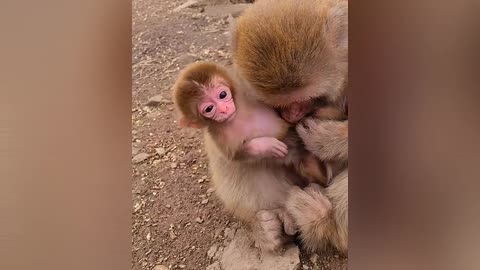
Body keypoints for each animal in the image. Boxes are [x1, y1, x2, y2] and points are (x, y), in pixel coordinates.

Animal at [172, 60, 326, 184]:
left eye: (222, 94)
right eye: (209, 109)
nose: (224, 109)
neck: (235, 116)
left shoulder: (248, 93)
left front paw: (297, 109)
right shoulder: (219, 136)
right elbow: (239, 154)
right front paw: (267, 145)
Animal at [231, 0, 346, 253]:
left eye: (302, 100)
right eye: (278, 105)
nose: (290, 116)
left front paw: (326, 139)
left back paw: (322, 223)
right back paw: (265, 226)